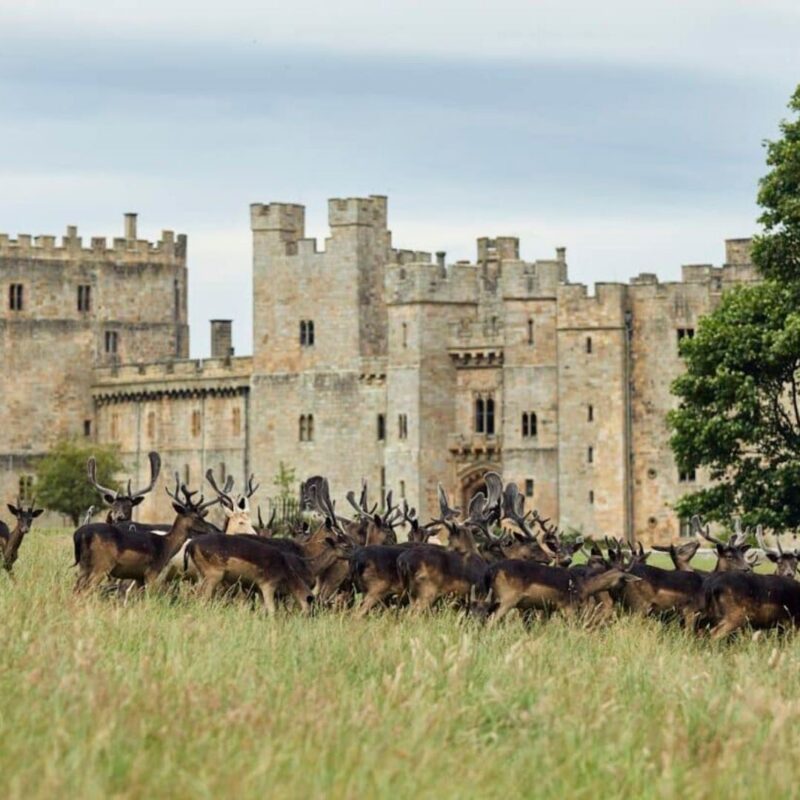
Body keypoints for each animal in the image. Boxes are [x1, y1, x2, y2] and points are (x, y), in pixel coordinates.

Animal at [73, 475, 224, 593]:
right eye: (197, 516)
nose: (213, 530)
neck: (166, 545)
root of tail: (79, 535)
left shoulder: (139, 576)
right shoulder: (152, 572)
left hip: (84, 565)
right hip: (101, 564)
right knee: (87, 589)